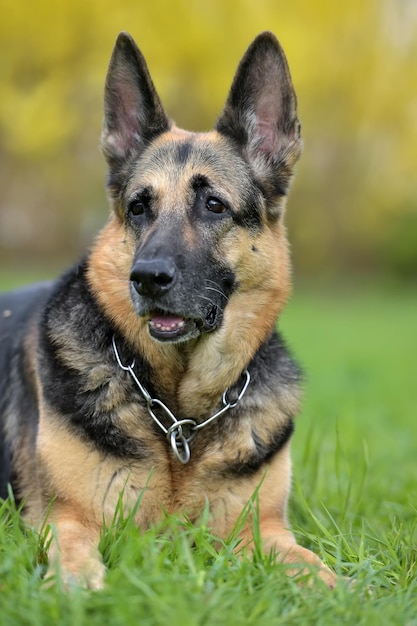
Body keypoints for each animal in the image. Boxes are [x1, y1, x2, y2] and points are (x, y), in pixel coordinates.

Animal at [0, 31, 336, 588]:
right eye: (139, 207)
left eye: (214, 205)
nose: (146, 278)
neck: (180, 417)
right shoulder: (67, 517)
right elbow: (74, 554)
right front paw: (81, 587)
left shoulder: (264, 532)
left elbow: (323, 573)